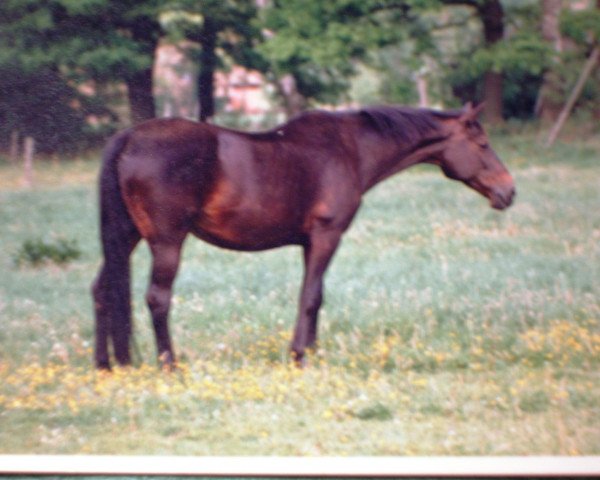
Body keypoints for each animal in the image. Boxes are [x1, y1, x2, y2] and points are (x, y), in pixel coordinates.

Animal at [92, 103, 516, 370]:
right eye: (482, 144)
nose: (508, 191)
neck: (350, 148)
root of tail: (128, 138)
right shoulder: (327, 236)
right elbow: (310, 297)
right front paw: (300, 356)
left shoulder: (311, 243)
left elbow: (316, 297)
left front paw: (311, 351)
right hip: (166, 241)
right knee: (157, 298)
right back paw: (170, 365)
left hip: (125, 238)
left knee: (103, 291)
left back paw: (106, 365)